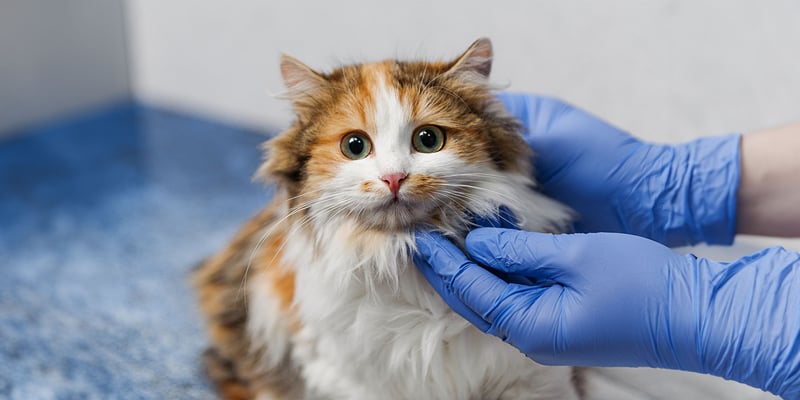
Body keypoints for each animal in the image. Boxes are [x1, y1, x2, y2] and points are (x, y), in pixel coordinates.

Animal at [194, 38, 580, 400]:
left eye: (428, 139)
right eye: (354, 146)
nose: (394, 178)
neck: (400, 259)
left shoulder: (533, 381)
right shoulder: (347, 378)